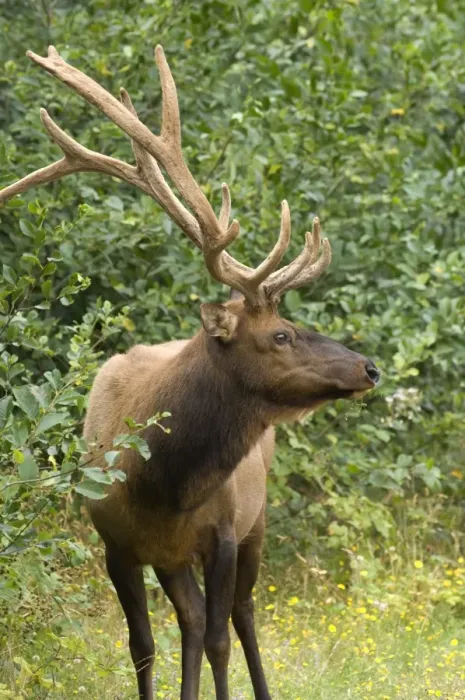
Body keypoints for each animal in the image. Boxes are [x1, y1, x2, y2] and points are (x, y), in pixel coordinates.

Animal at [0, 45, 380, 700]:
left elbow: (222, 637)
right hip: (175, 557)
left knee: (240, 616)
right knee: (195, 620)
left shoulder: (224, 530)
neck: (161, 481)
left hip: (256, 522)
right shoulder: (117, 544)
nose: (369, 366)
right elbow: (144, 646)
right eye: (281, 334)